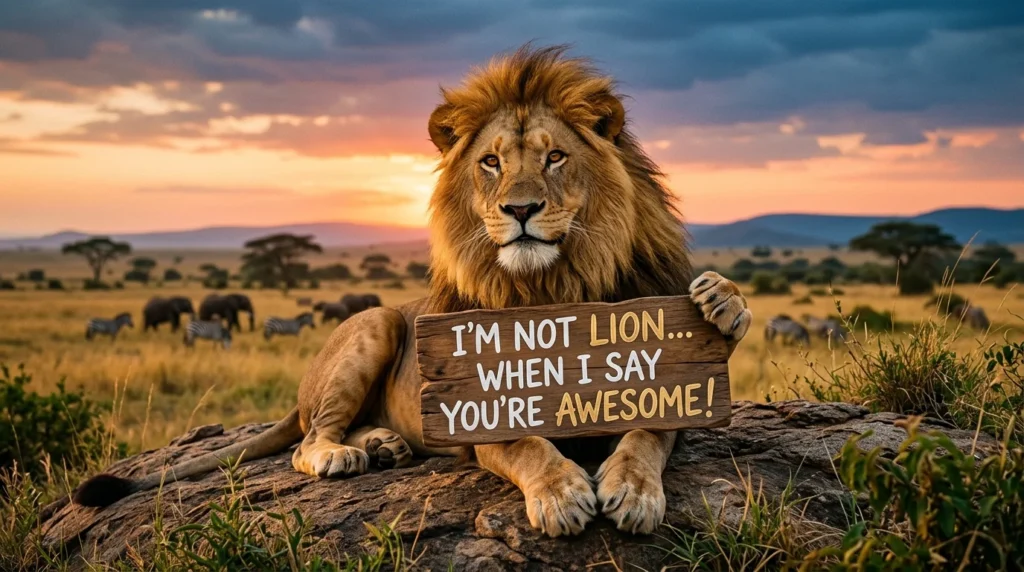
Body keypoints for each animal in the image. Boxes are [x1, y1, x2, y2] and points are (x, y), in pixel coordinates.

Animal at [74, 45, 753, 538]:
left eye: (555, 157)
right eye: (491, 162)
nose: (521, 209)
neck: (552, 283)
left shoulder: (664, 393)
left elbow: (647, 435)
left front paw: (634, 491)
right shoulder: (478, 418)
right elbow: (528, 445)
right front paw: (562, 495)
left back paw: (384, 445)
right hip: (376, 323)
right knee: (309, 442)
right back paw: (349, 454)